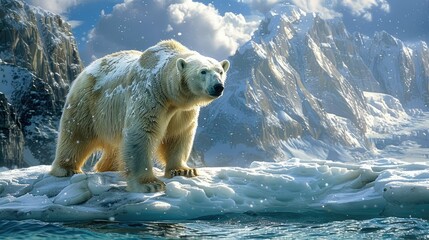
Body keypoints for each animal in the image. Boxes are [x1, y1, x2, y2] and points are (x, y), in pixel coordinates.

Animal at [50, 40, 229, 192]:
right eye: (203, 71)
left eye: (220, 71)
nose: (218, 86)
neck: (166, 87)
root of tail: (86, 69)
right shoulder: (150, 94)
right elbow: (141, 133)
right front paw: (150, 184)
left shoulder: (182, 111)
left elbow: (179, 134)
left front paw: (184, 170)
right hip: (87, 103)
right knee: (76, 134)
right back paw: (67, 168)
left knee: (115, 146)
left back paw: (110, 167)